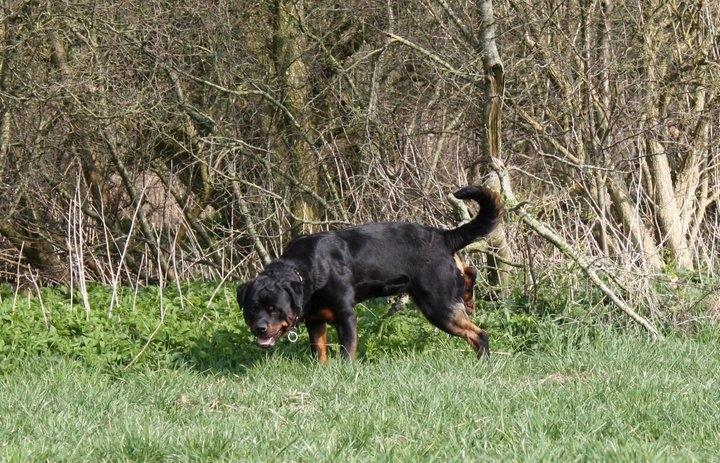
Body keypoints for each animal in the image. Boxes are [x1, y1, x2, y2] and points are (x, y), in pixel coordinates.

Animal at [236, 186, 500, 362]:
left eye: (275, 309)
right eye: (252, 309)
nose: (260, 328)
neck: (307, 271)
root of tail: (443, 236)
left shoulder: (346, 316)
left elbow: (347, 352)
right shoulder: (315, 320)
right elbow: (319, 351)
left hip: (438, 305)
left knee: (479, 334)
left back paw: (483, 362)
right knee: (469, 271)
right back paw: (469, 299)